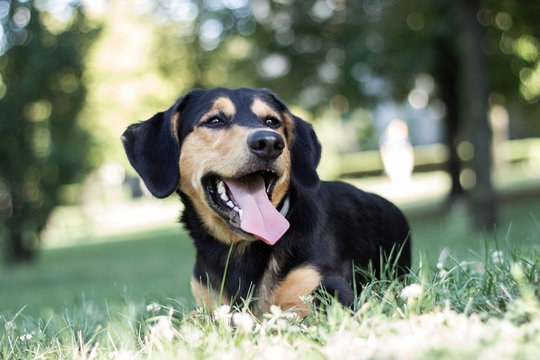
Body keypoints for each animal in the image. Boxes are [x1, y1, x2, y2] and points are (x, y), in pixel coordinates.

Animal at [122, 87, 410, 316]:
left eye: (272, 121)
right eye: (214, 120)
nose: (270, 142)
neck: (239, 248)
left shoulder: (329, 290)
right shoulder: (206, 305)